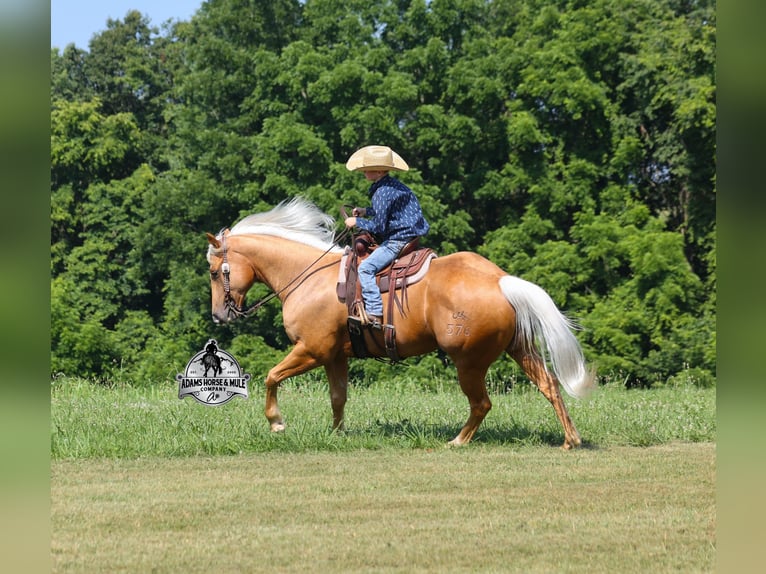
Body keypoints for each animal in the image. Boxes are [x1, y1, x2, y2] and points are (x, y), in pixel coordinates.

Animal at [205, 197, 595, 449]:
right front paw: (336, 435)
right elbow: (338, 397)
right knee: (549, 386)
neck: (309, 277)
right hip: (519, 348)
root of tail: (500, 280)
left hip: (468, 362)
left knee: (481, 403)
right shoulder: (335, 356)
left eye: (213, 271)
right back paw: (570, 439)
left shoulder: (312, 350)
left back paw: (458, 440)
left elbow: (272, 377)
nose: (219, 315)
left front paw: (276, 423)